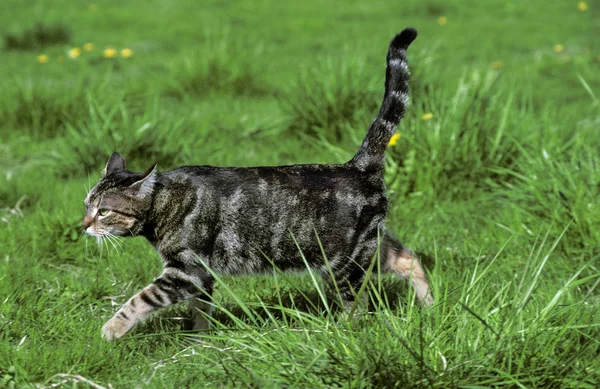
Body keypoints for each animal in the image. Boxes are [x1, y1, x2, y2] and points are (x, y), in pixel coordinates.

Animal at [83, 26, 432, 340]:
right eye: (86, 205)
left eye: (103, 211)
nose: (83, 225)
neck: (166, 204)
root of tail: (358, 165)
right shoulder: (200, 276)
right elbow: (200, 310)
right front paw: (200, 342)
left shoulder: (185, 271)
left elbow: (139, 300)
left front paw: (110, 330)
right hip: (369, 246)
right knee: (408, 258)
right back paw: (429, 305)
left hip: (346, 262)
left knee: (356, 304)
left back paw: (344, 332)